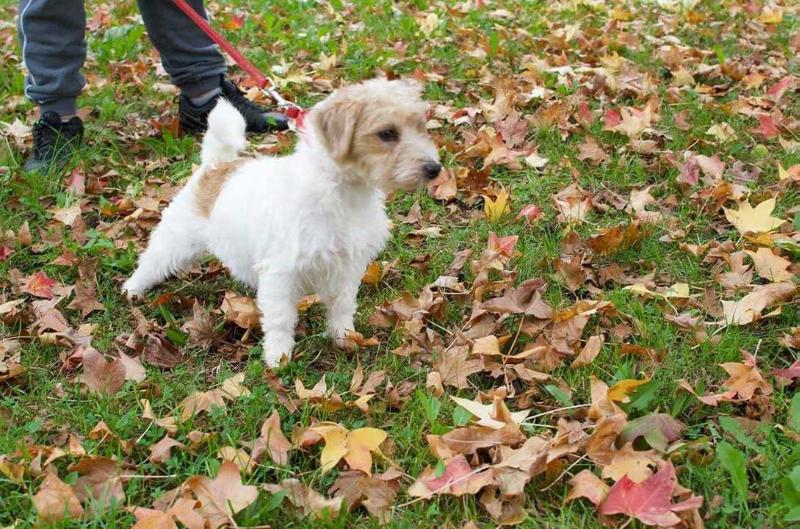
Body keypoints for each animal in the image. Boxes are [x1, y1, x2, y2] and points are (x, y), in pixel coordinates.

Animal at [122, 79, 440, 368]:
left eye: (420, 126)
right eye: (387, 133)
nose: (435, 169)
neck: (341, 191)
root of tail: (215, 165)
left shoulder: (347, 267)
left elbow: (342, 305)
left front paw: (345, 337)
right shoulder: (280, 273)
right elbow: (280, 319)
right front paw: (279, 356)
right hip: (175, 239)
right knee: (151, 263)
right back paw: (132, 290)